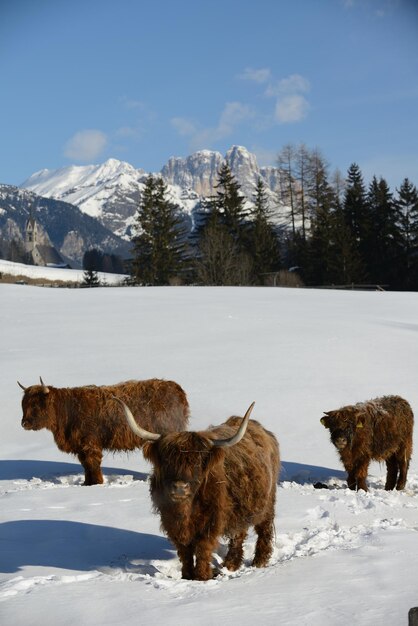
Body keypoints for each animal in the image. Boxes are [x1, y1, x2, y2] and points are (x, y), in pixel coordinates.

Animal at [19, 376, 189, 482]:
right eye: (24, 405)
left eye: (36, 405)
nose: (24, 423)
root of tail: (176, 388)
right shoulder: (81, 447)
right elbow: (86, 467)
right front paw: (86, 484)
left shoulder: (90, 445)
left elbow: (93, 465)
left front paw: (96, 483)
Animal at [116, 400, 280, 580]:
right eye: (167, 461)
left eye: (197, 462)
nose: (180, 487)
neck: (186, 509)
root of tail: (262, 430)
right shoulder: (173, 522)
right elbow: (185, 551)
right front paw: (187, 575)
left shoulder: (211, 522)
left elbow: (203, 549)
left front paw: (202, 576)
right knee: (239, 533)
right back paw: (231, 564)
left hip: (267, 502)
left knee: (263, 529)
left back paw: (259, 562)